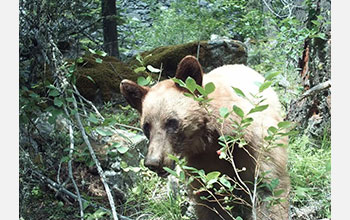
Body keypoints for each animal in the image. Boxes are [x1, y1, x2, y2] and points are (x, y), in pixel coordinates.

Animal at [120, 55, 290, 219]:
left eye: (171, 122)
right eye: (146, 126)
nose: (153, 162)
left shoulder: (257, 148)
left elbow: (269, 190)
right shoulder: (201, 165)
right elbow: (209, 201)